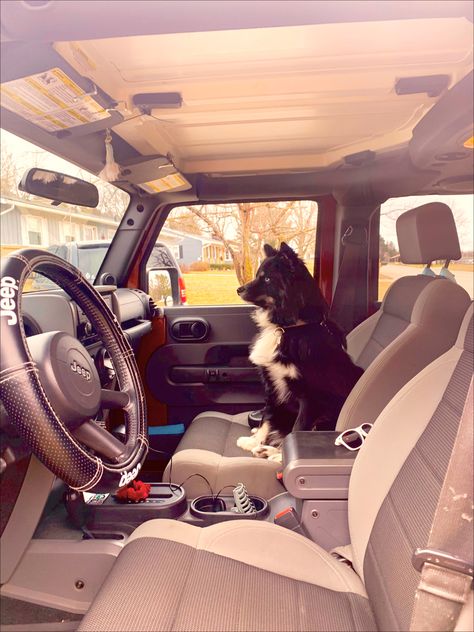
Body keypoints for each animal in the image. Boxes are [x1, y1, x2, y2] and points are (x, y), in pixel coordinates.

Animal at [236, 242, 362, 460]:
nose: (238, 289)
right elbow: (267, 417)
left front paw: (281, 457)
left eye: (267, 279)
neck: (289, 327)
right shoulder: (273, 385)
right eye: (259, 274)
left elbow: (297, 430)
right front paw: (255, 440)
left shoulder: (310, 397)